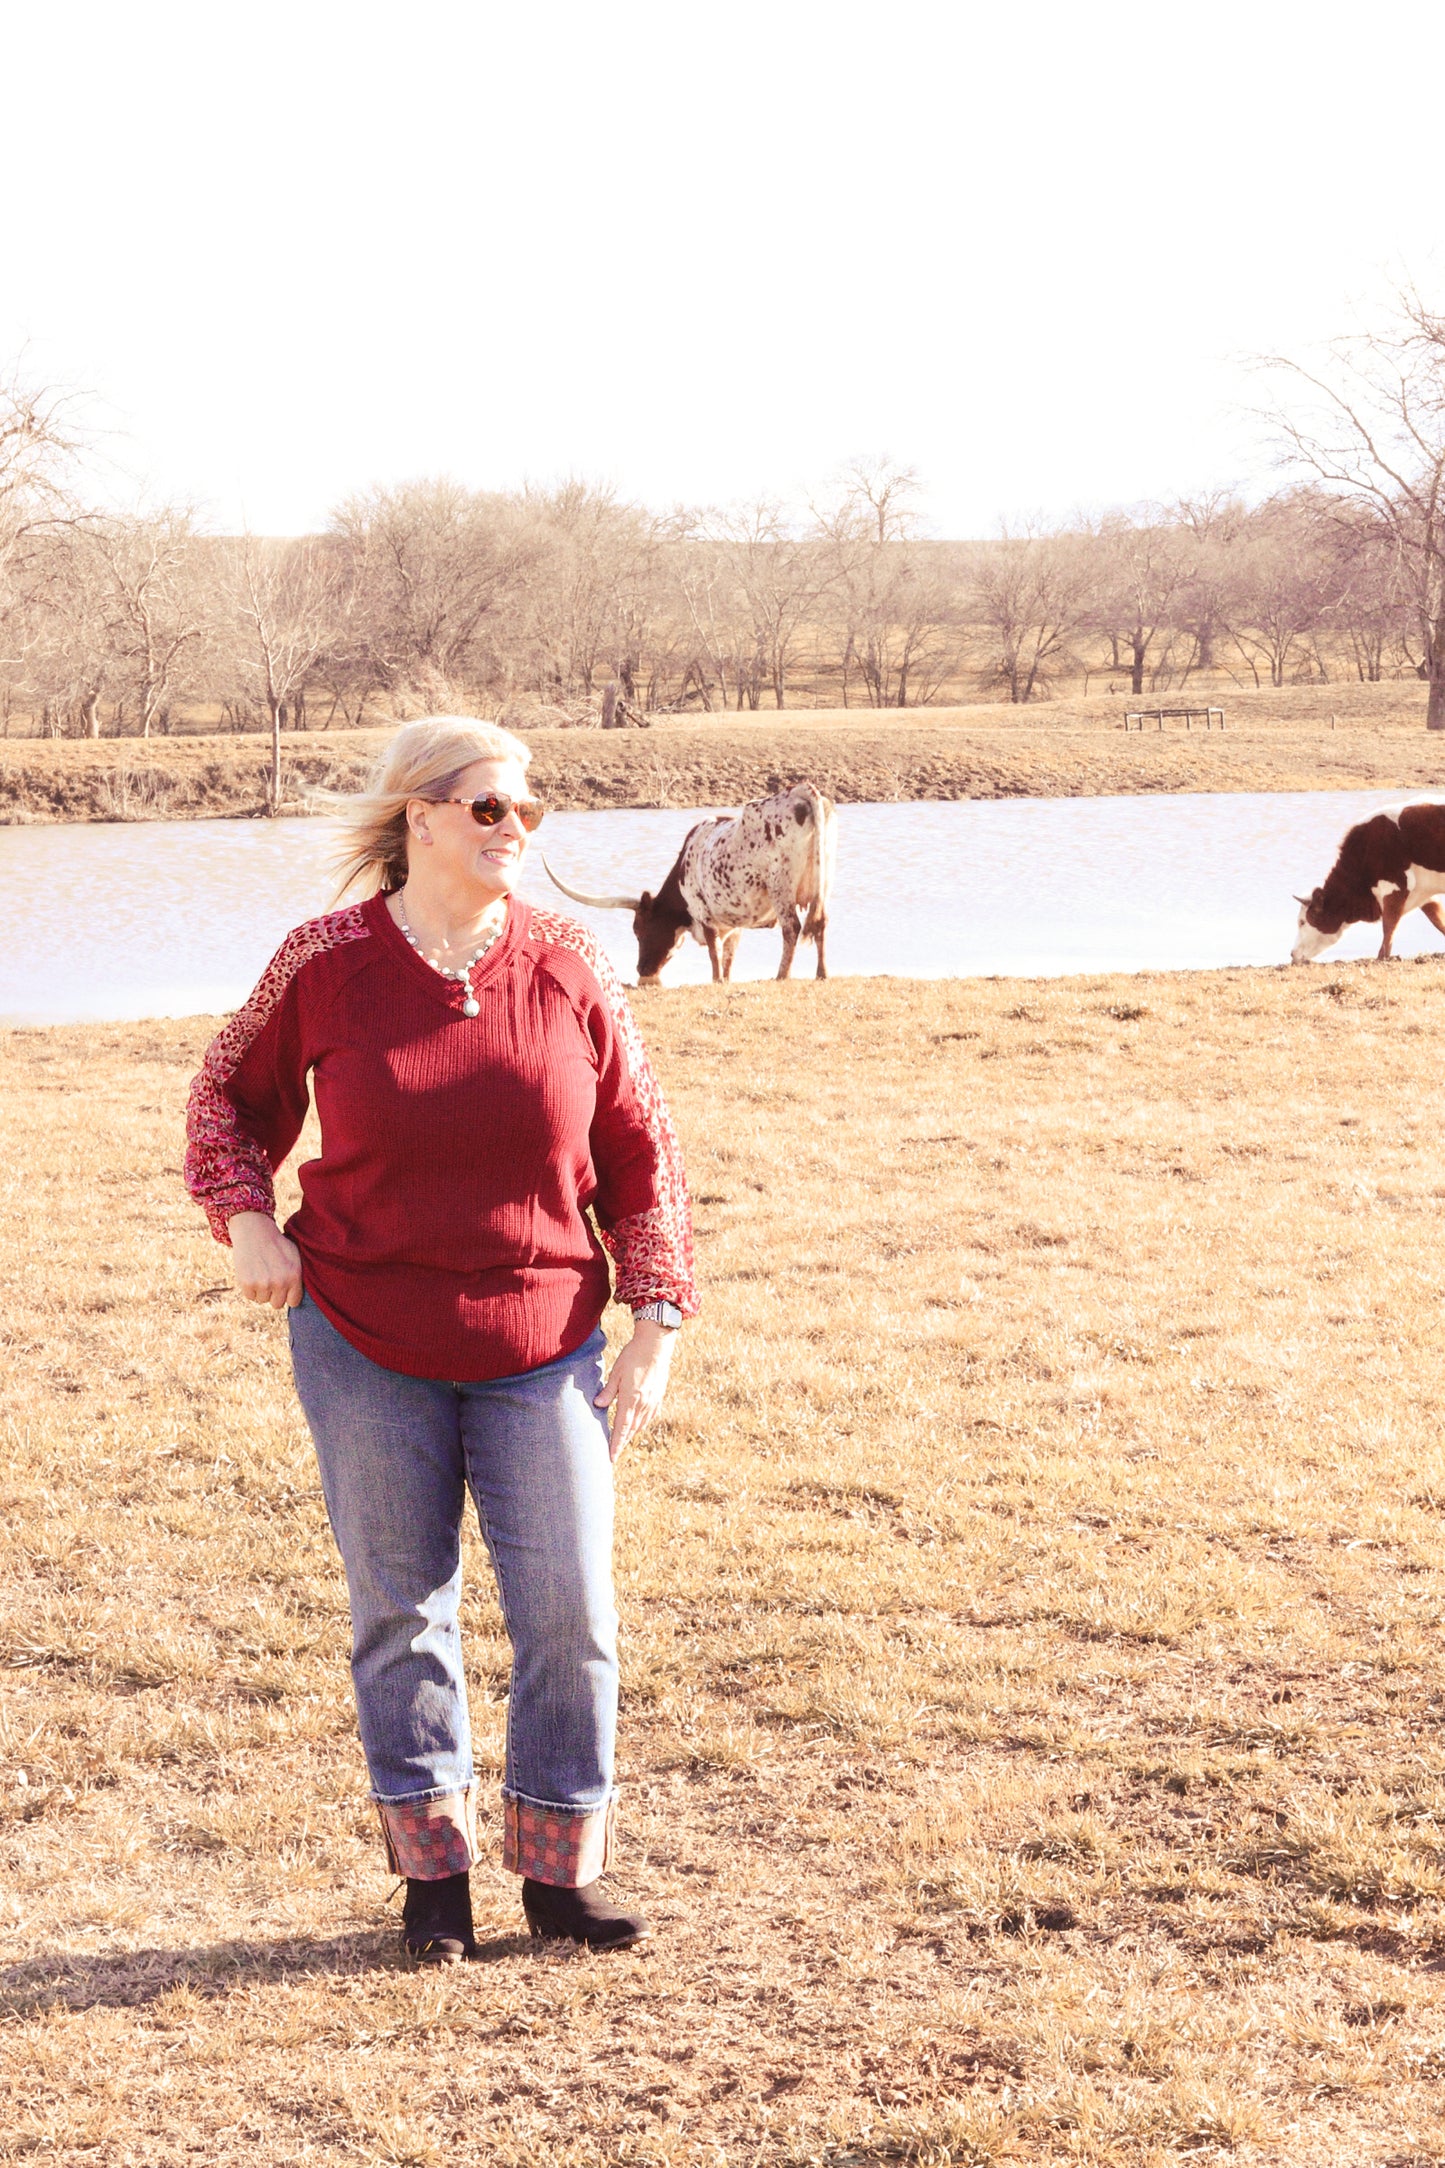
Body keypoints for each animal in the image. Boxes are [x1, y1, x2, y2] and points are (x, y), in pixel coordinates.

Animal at [541, 780, 836, 984]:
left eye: (638, 930)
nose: (641, 969)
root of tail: (800, 791)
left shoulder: (703, 912)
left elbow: (714, 952)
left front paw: (716, 981)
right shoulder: (734, 924)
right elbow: (728, 955)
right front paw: (725, 979)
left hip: (780, 887)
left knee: (791, 928)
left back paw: (781, 975)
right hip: (822, 885)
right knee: (820, 923)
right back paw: (822, 973)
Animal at [1291, 802, 1445, 962]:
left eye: (1302, 922)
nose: (1292, 953)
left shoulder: (1394, 887)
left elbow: (1389, 926)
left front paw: (1382, 958)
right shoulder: (1425, 894)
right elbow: (1439, 920)